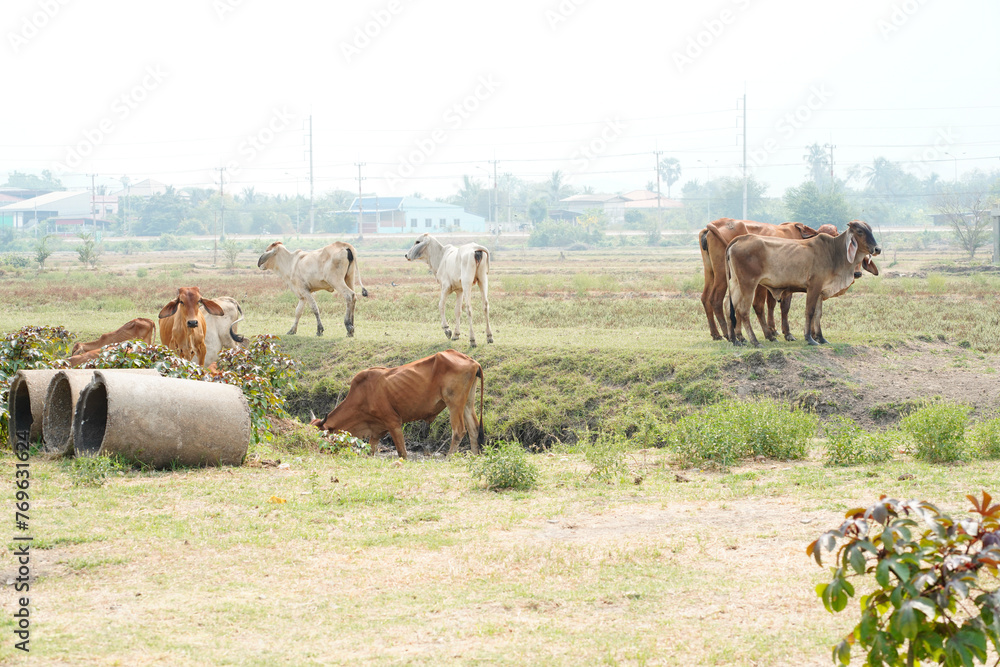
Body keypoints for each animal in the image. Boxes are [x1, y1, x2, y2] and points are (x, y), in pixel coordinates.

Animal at [311, 350, 485, 460]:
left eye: (321, 436)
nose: (312, 451)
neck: (362, 395)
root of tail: (472, 361)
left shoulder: (393, 423)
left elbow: (402, 453)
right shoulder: (376, 431)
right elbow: (371, 451)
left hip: (454, 403)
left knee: (459, 431)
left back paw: (448, 458)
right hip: (468, 403)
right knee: (474, 429)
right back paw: (474, 457)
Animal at [699, 218, 839, 342]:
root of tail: (712, 226)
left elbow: (771, 304)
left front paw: (774, 329)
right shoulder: (788, 285)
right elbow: (785, 307)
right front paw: (787, 333)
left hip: (710, 272)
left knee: (706, 298)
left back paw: (717, 334)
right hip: (724, 276)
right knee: (718, 300)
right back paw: (728, 334)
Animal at [725, 220, 881, 347]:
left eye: (871, 230)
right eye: (860, 231)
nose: (877, 249)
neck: (834, 252)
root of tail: (740, 239)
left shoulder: (821, 291)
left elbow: (818, 314)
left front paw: (821, 338)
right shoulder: (814, 286)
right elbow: (809, 311)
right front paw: (809, 338)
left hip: (736, 284)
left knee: (730, 307)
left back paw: (736, 340)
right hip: (748, 284)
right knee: (744, 311)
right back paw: (755, 341)